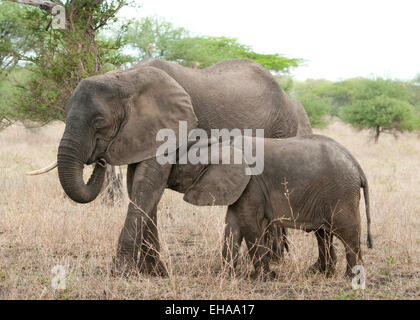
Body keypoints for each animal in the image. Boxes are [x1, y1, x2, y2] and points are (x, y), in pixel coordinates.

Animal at [54, 58, 312, 276]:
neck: (124, 79)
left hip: (282, 129)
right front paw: (154, 271)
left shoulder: (170, 126)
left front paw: (121, 271)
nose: (99, 159)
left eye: (99, 121)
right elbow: (138, 186)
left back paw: (276, 260)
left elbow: (147, 186)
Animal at [166, 134, 372, 278]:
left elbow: (249, 225)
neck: (221, 144)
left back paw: (350, 277)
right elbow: (232, 226)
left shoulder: (251, 184)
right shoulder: (239, 187)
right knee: (323, 234)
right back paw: (319, 272)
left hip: (341, 193)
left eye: (178, 162)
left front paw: (266, 277)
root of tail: (357, 167)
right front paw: (225, 275)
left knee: (348, 232)